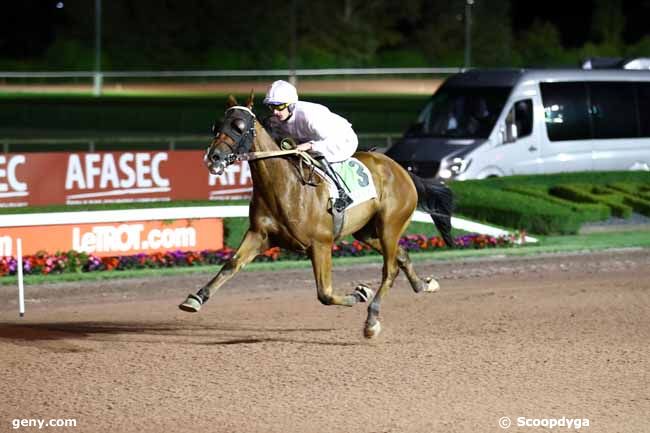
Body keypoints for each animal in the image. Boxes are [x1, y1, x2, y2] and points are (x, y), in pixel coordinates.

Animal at [177, 93, 450, 340]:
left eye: (239, 127)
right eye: (216, 125)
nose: (214, 157)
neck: (285, 186)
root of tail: (401, 169)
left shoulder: (320, 244)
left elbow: (325, 293)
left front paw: (359, 294)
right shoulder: (259, 234)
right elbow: (231, 264)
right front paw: (195, 298)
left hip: (389, 225)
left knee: (390, 269)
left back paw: (372, 320)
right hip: (367, 231)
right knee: (401, 255)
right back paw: (424, 285)